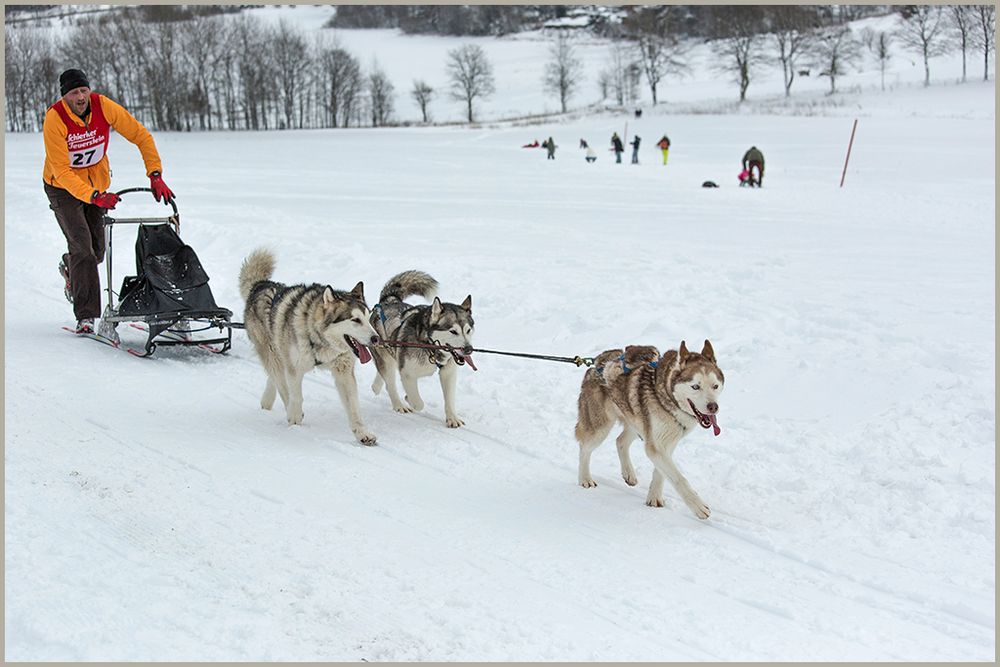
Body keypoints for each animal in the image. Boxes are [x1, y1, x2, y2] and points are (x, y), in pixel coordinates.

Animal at [240, 248, 380, 446]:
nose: (376, 338)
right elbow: (295, 396)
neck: (321, 341)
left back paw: (267, 400)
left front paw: (362, 433)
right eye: (355, 320)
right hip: (272, 354)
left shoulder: (343, 371)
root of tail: (260, 285)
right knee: (280, 381)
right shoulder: (294, 369)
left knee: (274, 378)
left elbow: (353, 406)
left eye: (368, 318)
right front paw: (295, 419)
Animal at [370, 270, 474, 428]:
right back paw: (399, 404)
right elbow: (418, 403)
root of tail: (388, 301)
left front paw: (452, 418)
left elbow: (449, 399)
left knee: (384, 372)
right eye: (453, 331)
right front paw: (410, 400)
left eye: (468, 330)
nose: (468, 349)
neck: (429, 346)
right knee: (390, 381)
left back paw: (377, 385)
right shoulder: (407, 373)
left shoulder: (448, 372)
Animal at [576, 342, 724, 520]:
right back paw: (585, 479)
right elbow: (678, 478)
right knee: (584, 448)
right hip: (600, 427)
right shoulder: (657, 445)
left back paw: (628, 473)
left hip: (636, 422)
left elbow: (661, 472)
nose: (713, 407)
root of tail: (597, 362)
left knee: (620, 441)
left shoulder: (667, 441)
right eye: (695, 386)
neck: (667, 397)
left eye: (715, 386)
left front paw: (654, 497)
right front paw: (698, 506)